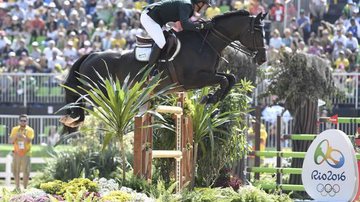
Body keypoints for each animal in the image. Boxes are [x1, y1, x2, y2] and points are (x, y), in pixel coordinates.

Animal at [59, 9, 268, 128]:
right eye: (258, 31)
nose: (263, 58)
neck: (205, 43)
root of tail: (91, 54)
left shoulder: (207, 75)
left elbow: (230, 79)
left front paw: (212, 99)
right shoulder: (193, 79)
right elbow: (225, 79)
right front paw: (210, 98)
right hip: (98, 90)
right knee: (79, 97)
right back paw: (74, 118)